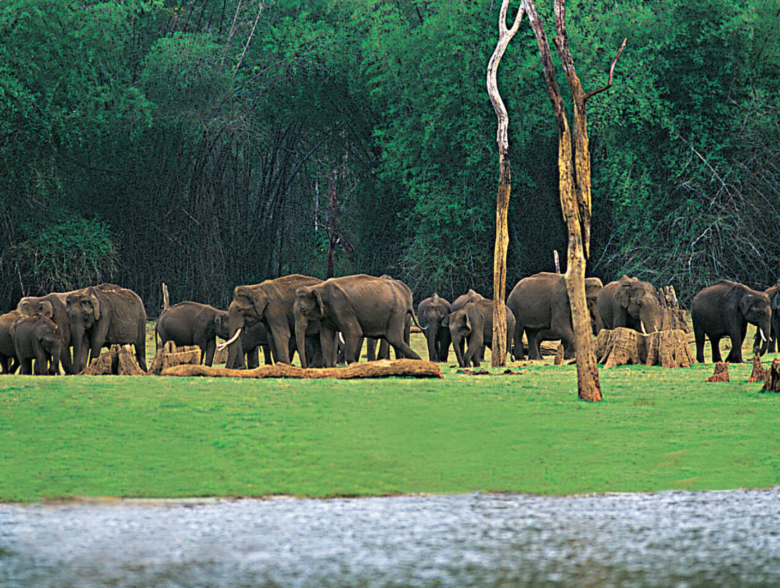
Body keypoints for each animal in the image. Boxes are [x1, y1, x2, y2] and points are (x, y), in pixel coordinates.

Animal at [296, 274, 424, 368]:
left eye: (304, 311)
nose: (305, 367)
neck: (319, 287)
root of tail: (405, 291)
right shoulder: (327, 315)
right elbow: (325, 337)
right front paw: (329, 369)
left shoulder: (341, 307)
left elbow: (355, 332)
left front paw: (353, 365)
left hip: (396, 311)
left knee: (394, 338)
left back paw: (419, 362)